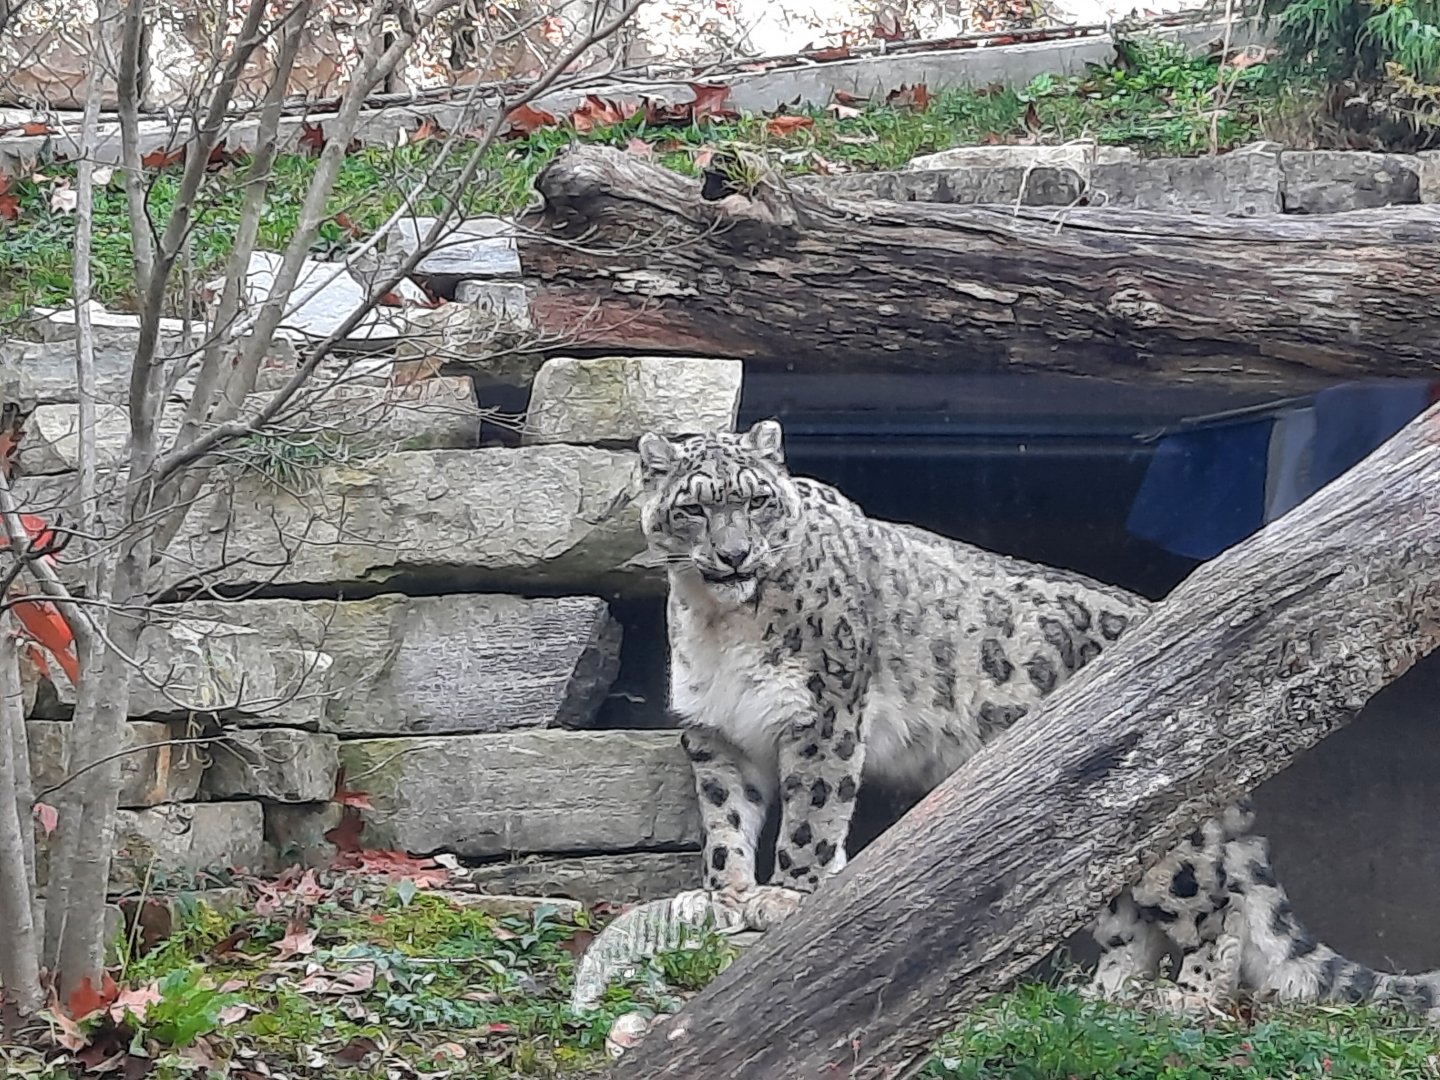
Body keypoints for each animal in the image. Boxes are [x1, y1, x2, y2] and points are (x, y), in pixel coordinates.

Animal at [627, 416, 1440, 1019]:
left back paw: (1186, 998)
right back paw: (1102, 996)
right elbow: (726, 821)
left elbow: (809, 820)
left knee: (1219, 900)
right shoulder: (716, 734)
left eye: (759, 501)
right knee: (1125, 919)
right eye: (695, 508)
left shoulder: (823, 715)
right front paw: (725, 896)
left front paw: (787, 899)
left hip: (1169, 832)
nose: (735, 556)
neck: (720, 625)